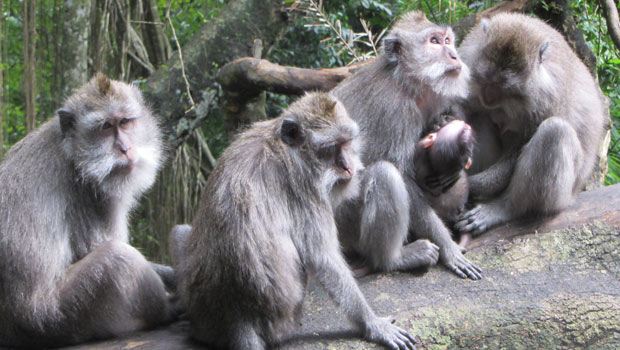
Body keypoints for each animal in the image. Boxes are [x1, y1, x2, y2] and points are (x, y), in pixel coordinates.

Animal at [0, 73, 172, 348]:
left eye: (125, 122)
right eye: (106, 127)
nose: (125, 149)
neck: (74, 154)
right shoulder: (93, 197)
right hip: (57, 316)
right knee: (117, 259)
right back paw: (166, 310)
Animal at [170, 92, 418, 350]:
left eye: (347, 142)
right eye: (331, 148)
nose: (348, 167)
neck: (284, 147)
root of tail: (239, 317)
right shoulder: (306, 189)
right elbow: (325, 259)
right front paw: (372, 324)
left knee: (180, 231)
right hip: (286, 318)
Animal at [452, 13, 608, 237]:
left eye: (507, 89)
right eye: (485, 79)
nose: (488, 99)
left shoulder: (550, 96)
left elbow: (522, 143)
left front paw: (471, 184)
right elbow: (465, 110)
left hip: (564, 196)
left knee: (555, 132)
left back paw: (505, 207)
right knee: (480, 117)